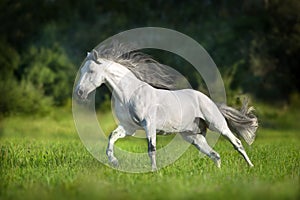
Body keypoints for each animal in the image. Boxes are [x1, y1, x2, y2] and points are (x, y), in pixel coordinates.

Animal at [75, 43, 258, 170]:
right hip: (193, 136)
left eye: (91, 71)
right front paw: (114, 161)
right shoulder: (129, 127)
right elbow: (112, 137)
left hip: (218, 125)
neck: (130, 94)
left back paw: (250, 167)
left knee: (237, 143)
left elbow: (151, 148)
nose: (79, 93)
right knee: (215, 155)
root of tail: (210, 101)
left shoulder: (149, 125)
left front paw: (154, 171)